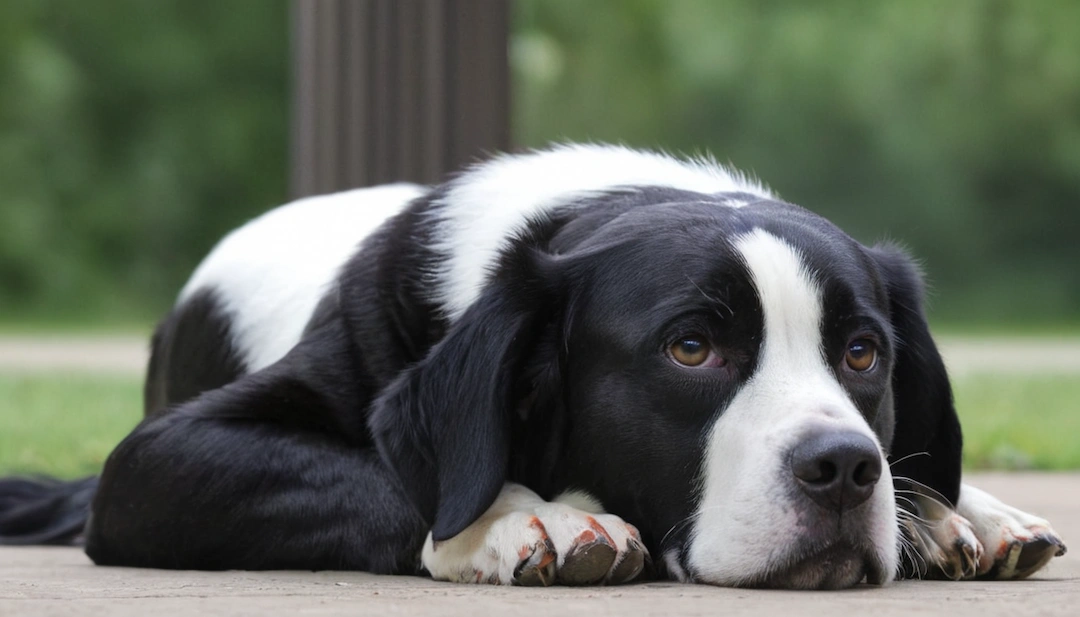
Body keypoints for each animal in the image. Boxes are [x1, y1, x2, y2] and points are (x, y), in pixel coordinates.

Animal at [0, 143, 1062, 587]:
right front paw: (523, 516)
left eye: (860, 351)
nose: (843, 467)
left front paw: (951, 510)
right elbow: (382, 474)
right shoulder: (154, 464)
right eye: (691, 346)